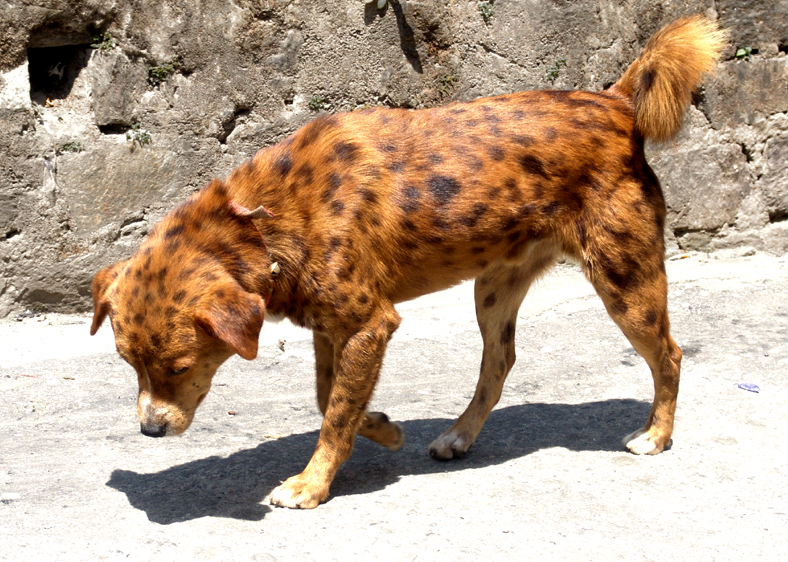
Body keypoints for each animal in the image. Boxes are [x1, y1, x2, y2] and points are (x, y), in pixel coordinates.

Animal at [91, 17, 728, 508]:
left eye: (178, 366)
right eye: (128, 364)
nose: (149, 429)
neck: (262, 222)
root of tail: (615, 103)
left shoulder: (368, 323)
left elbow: (334, 410)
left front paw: (311, 484)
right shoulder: (332, 326)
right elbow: (329, 398)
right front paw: (380, 428)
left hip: (625, 281)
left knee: (669, 356)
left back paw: (656, 435)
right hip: (493, 289)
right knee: (499, 363)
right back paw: (459, 436)